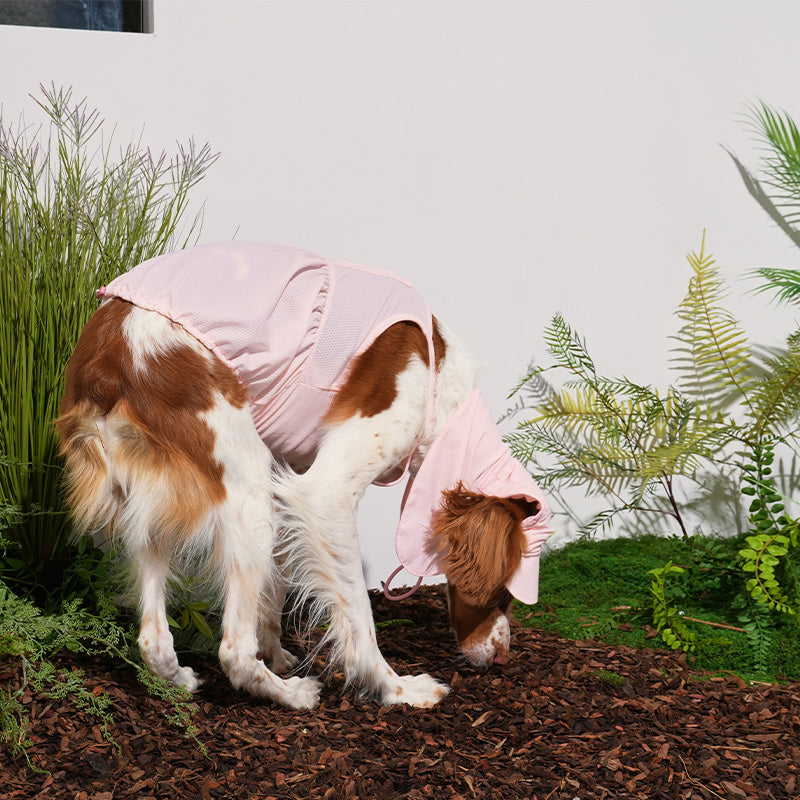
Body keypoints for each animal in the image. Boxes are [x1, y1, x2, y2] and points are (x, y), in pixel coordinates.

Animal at [56, 241, 552, 708]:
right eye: (502, 592)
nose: (503, 657)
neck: (439, 386)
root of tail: (104, 359)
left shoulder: (288, 474)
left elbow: (276, 586)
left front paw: (277, 651)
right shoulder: (324, 494)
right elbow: (358, 615)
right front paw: (395, 689)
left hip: (156, 501)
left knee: (153, 638)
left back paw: (180, 679)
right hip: (246, 491)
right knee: (232, 651)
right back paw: (292, 695)